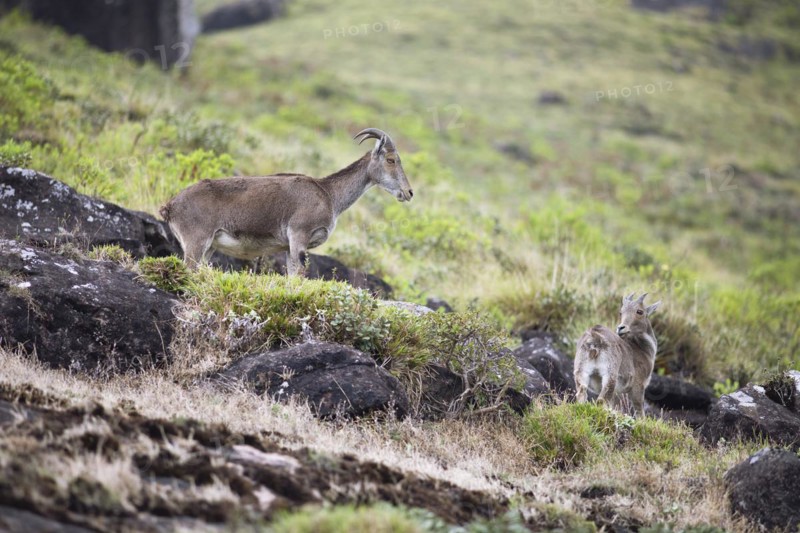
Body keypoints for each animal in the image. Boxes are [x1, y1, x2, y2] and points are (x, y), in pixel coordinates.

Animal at [159, 128, 413, 275]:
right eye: (391, 159)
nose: (408, 192)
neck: (329, 194)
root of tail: (170, 206)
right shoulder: (299, 235)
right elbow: (298, 274)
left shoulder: (291, 247)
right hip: (196, 241)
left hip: (209, 247)